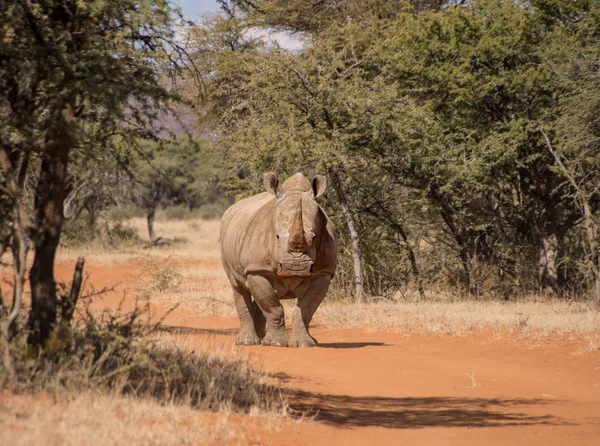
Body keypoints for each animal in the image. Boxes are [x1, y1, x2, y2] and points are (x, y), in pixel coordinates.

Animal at [221, 172, 338, 346]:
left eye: (314, 237)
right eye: (276, 236)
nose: (296, 267)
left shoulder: (323, 272)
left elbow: (305, 310)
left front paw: (305, 344)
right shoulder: (257, 269)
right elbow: (273, 307)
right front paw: (276, 343)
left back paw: (261, 339)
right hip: (225, 235)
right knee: (238, 286)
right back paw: (247, 342)